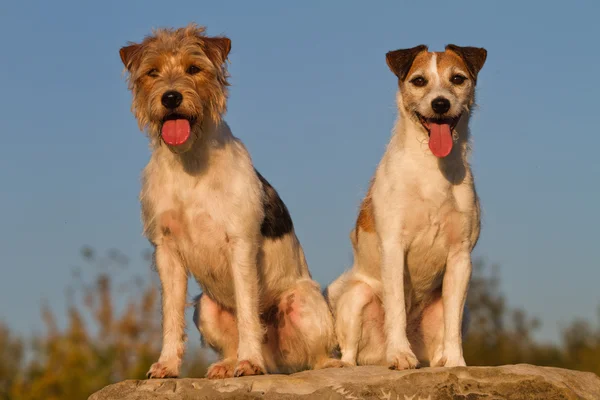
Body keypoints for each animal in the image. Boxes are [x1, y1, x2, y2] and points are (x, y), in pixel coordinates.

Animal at [120, 23, 342, 380]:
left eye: (194, 68)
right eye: (152, 72)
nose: (171, 97)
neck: (190, 162)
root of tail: (275, 361)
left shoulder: (240, 243)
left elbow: (248, 312)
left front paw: (249, 362)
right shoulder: (166, 250)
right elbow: (170, 314)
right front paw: (166, 365)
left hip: (303, 304)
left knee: (316, 355)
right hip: (206, 307)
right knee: (228, 344)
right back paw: (226, 365)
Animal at [326, 43, 486, 368]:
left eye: (458, 78)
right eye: (419, 81)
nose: (440, 104)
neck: (432, 168)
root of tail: (375, 357)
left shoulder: (461, 256)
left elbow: (452, 323)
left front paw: (457, 363)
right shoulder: (393, 247)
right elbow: (397, 307)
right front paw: (400, 354)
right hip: (356, 297)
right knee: (350, 350)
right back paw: (352, 361)